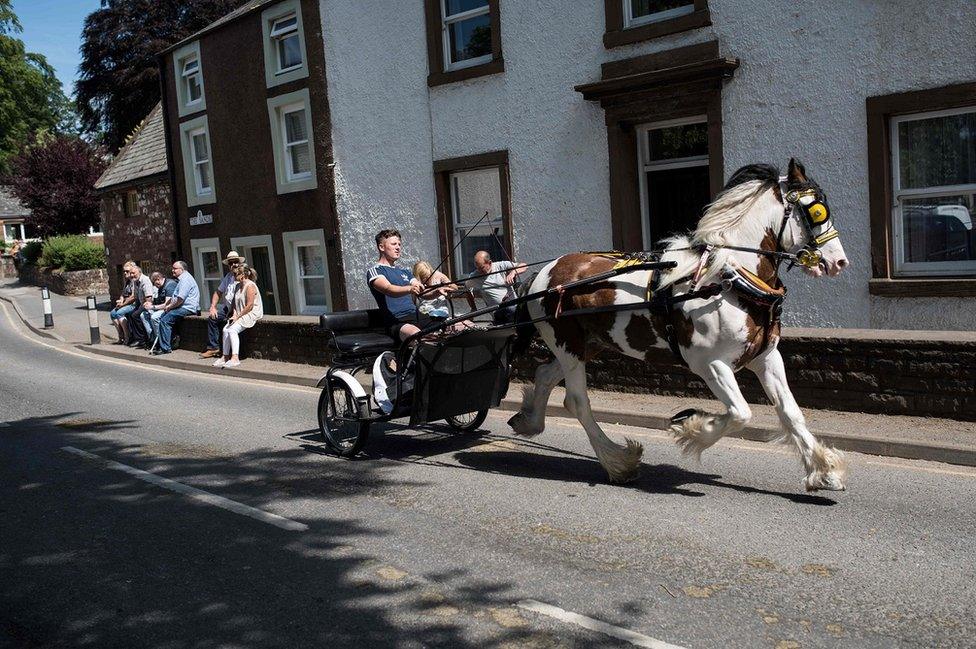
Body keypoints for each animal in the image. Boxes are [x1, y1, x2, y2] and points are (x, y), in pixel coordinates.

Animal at [508, 159, 852, 488]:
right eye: (817, 210)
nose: (839, 262)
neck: (729, 280)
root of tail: (544, 272)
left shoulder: (766, 357)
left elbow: (790, 413)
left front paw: (824, 471)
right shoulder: (709, 363)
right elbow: (741, 413)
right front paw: (691, 428)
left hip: (586, 345)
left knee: (545, 374)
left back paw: (530, 420)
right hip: (567, 344)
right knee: (577, 401)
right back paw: (618, 462)